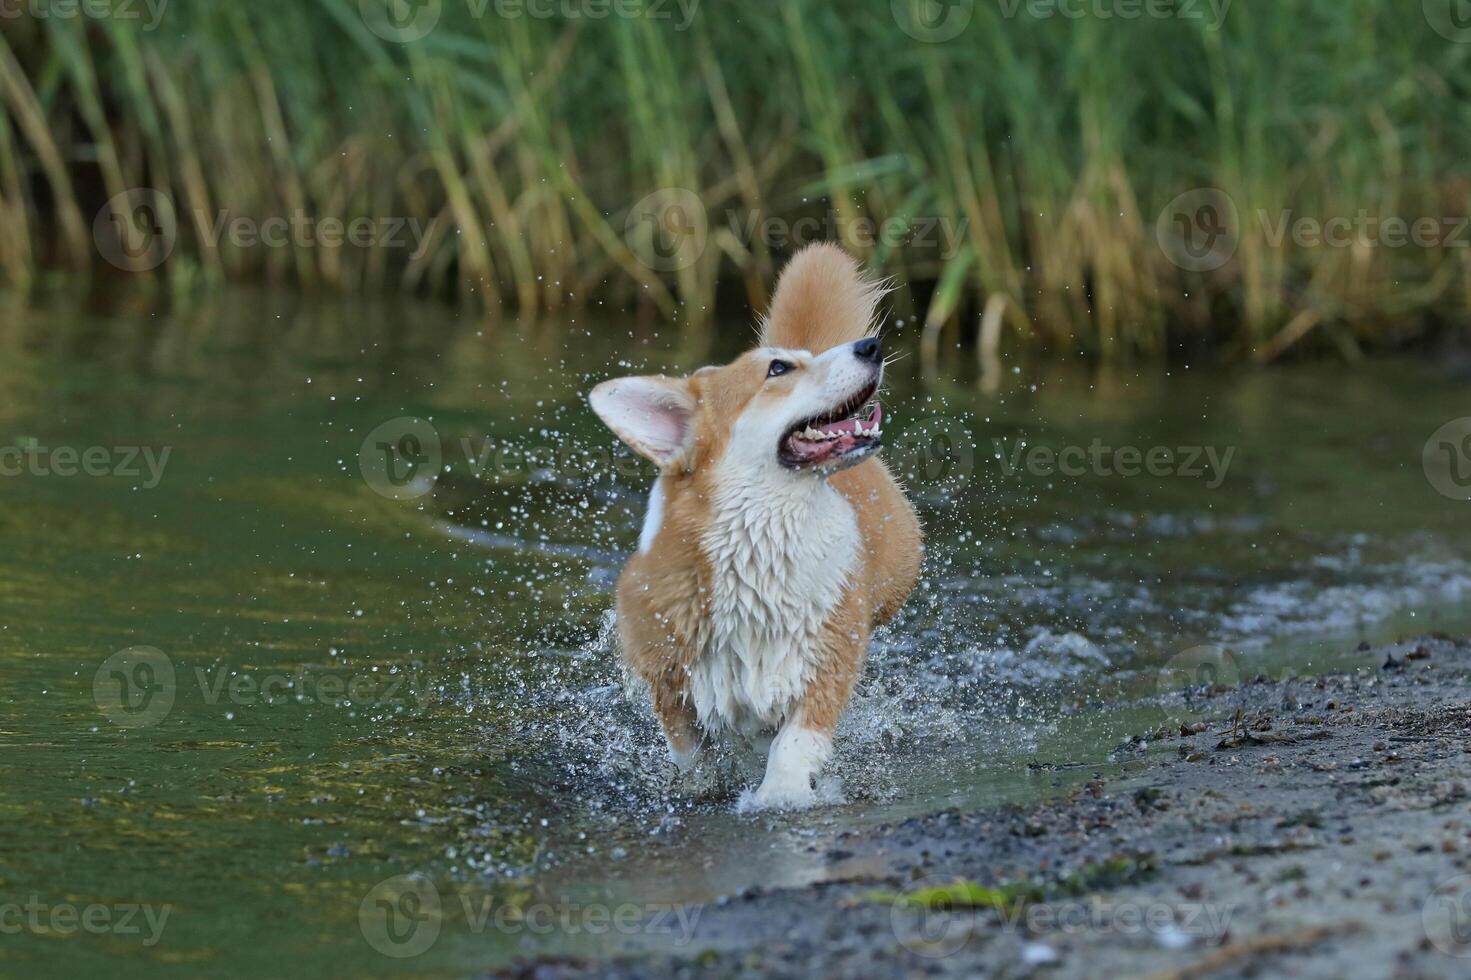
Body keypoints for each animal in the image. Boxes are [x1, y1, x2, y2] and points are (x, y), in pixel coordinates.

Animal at [588, 239, 917, 806]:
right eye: (778, 370)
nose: (870, 347)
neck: (763, 542)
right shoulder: (667, 676)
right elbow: (691, 751)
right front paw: (703, 786)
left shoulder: (826, 664)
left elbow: (793, 745)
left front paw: (780, 797)